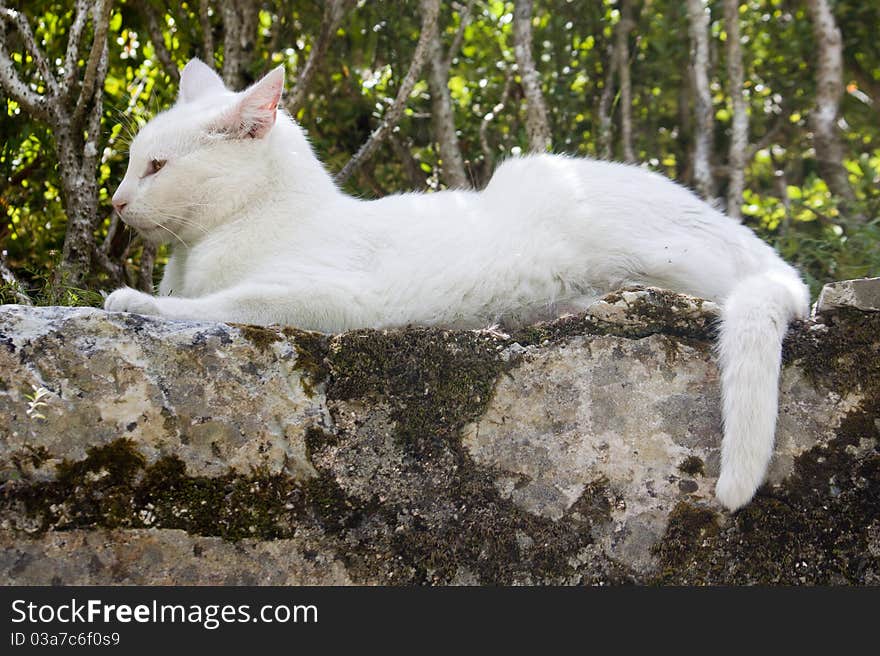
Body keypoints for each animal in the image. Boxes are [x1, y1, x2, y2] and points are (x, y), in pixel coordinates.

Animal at [105, 60, 812, 512]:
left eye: (156, 166)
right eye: (133, 162)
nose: (115, 202)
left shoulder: (328, 299)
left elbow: (215, 304)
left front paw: (137, 300)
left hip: (636, 236)